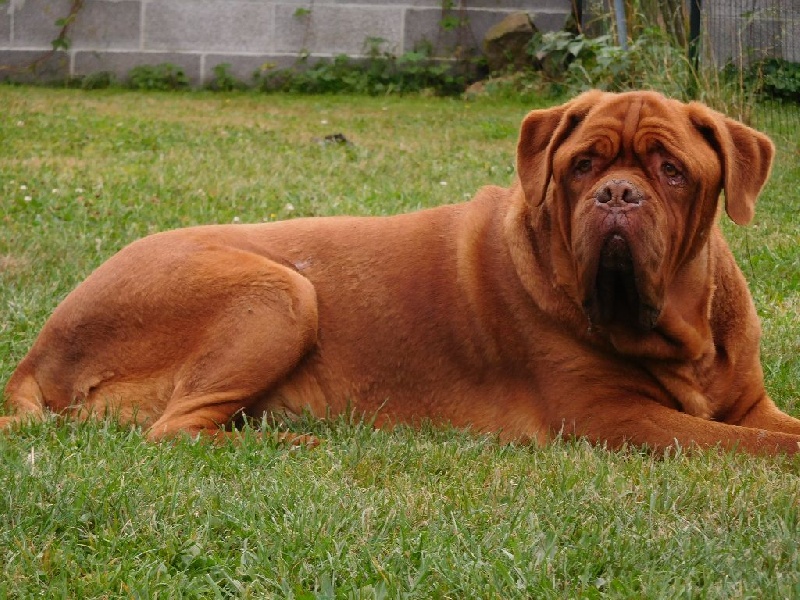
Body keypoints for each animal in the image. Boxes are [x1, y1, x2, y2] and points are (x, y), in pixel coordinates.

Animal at [3, 90, 799, 454]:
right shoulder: (614, 417)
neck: (681, 331)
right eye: (583, 166)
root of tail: (39, 351)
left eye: (671, 170)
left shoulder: (748, 403)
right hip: (282, 291)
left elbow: (773, 429)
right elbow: (760, 449)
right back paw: (299, 444)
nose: (617, 195)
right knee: (174, 431)